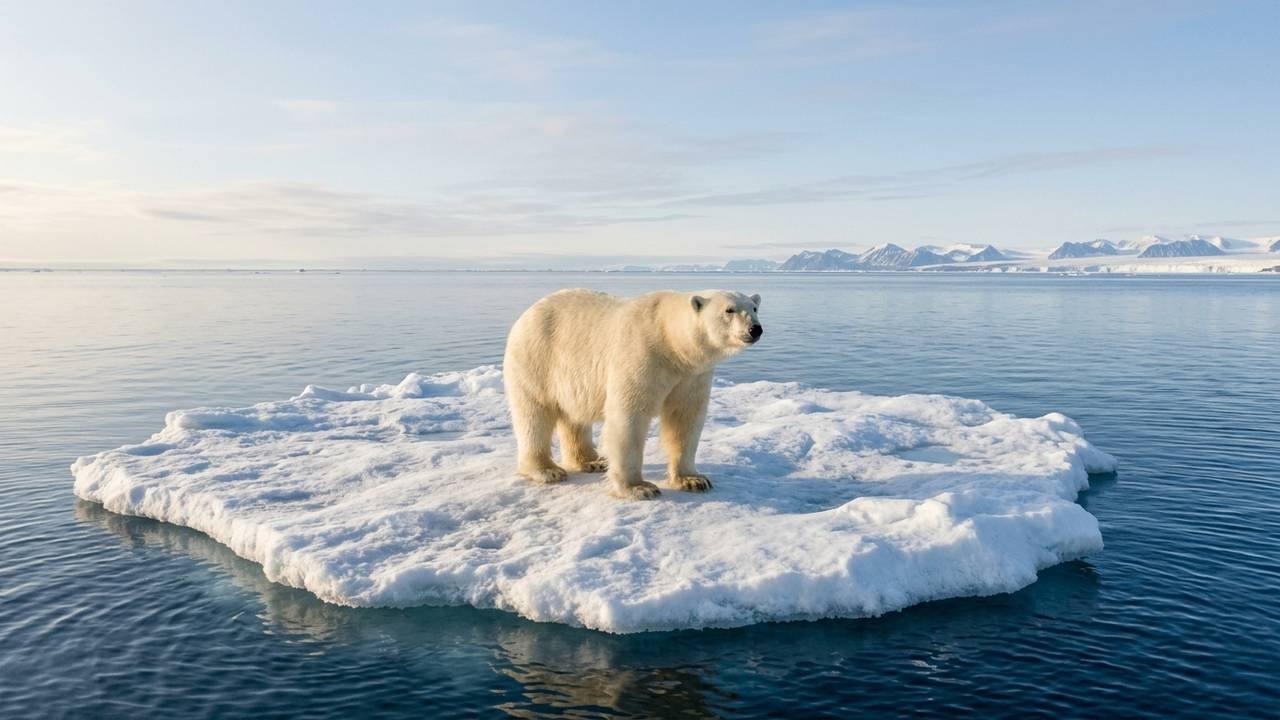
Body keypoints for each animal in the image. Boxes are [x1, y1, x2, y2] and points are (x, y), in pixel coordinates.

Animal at [503, 289, 763, 500]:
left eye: (754, 307)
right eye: (729, 310)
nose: (755, 329)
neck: (670, 342)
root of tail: (527, 313)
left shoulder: (692, 376)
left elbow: (685, 420)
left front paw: (694, 480)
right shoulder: (641, 356)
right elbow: (629, 417)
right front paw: (639, 488)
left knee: (573, 416)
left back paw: (592, 461)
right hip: (537, 359)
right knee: (534, 414)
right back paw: (547, 470)